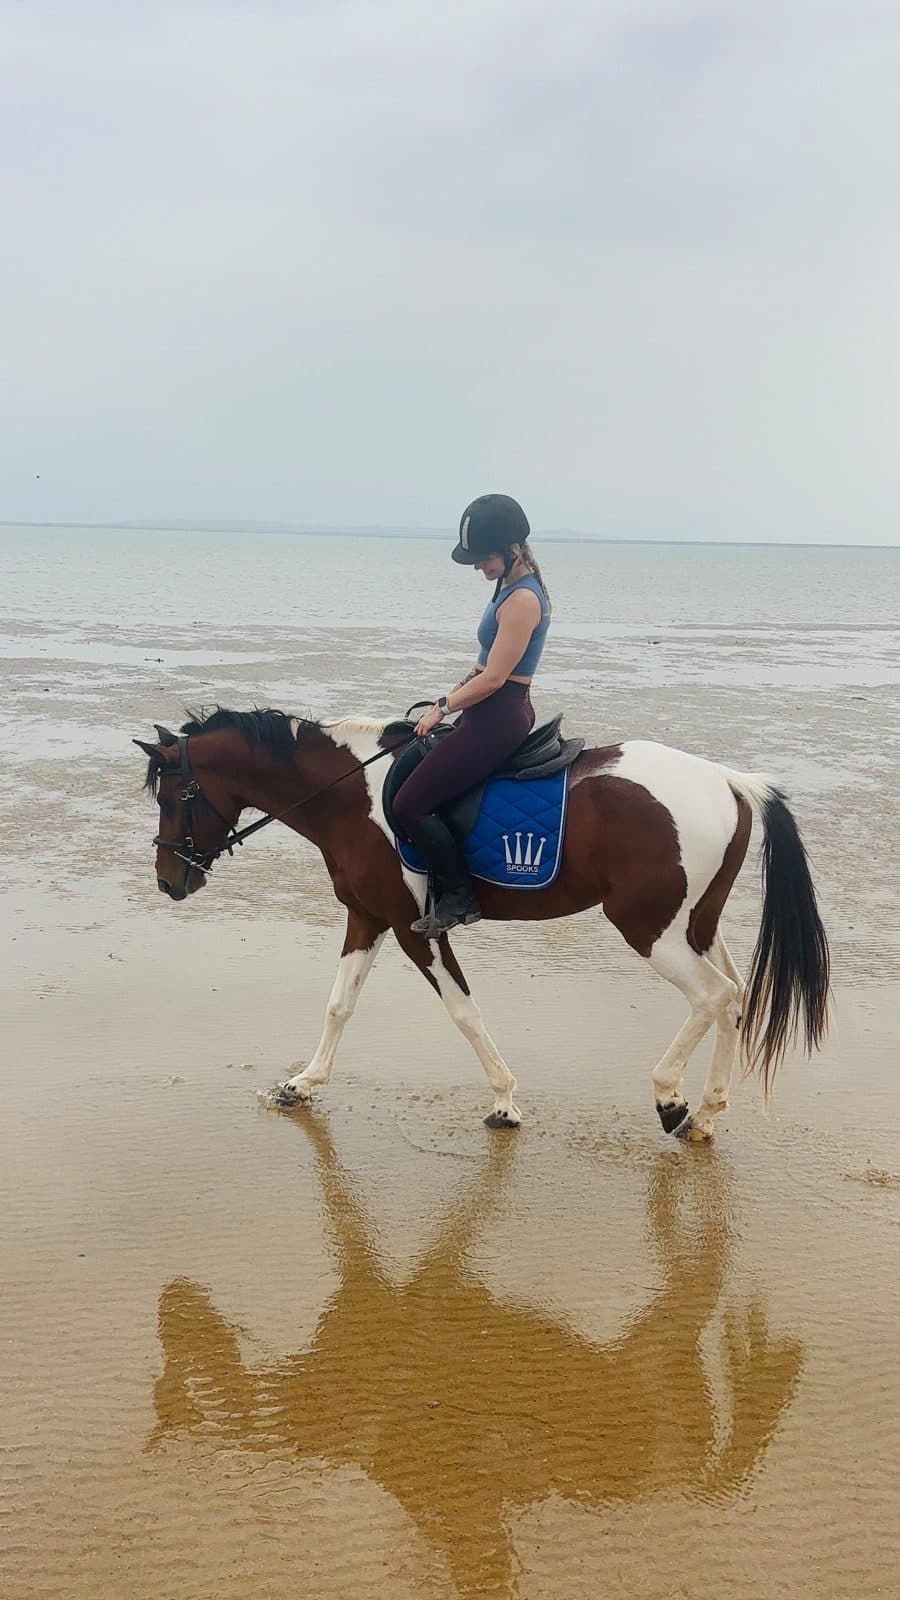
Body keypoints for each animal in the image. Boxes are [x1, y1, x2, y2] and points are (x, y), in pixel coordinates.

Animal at [135, 705, 830, 1140]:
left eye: (173, 797)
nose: (170, 881)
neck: (350, 798)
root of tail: (730, 782)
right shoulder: (368, 916)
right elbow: (339, 1005)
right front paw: (303, 1084)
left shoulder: (416, 928)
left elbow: (463, 1011)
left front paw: (504, 1100)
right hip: (694, 924)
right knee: (734, 1000)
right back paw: (707, 1115)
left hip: (649, 928)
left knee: (714, 996)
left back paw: (670, 1098)